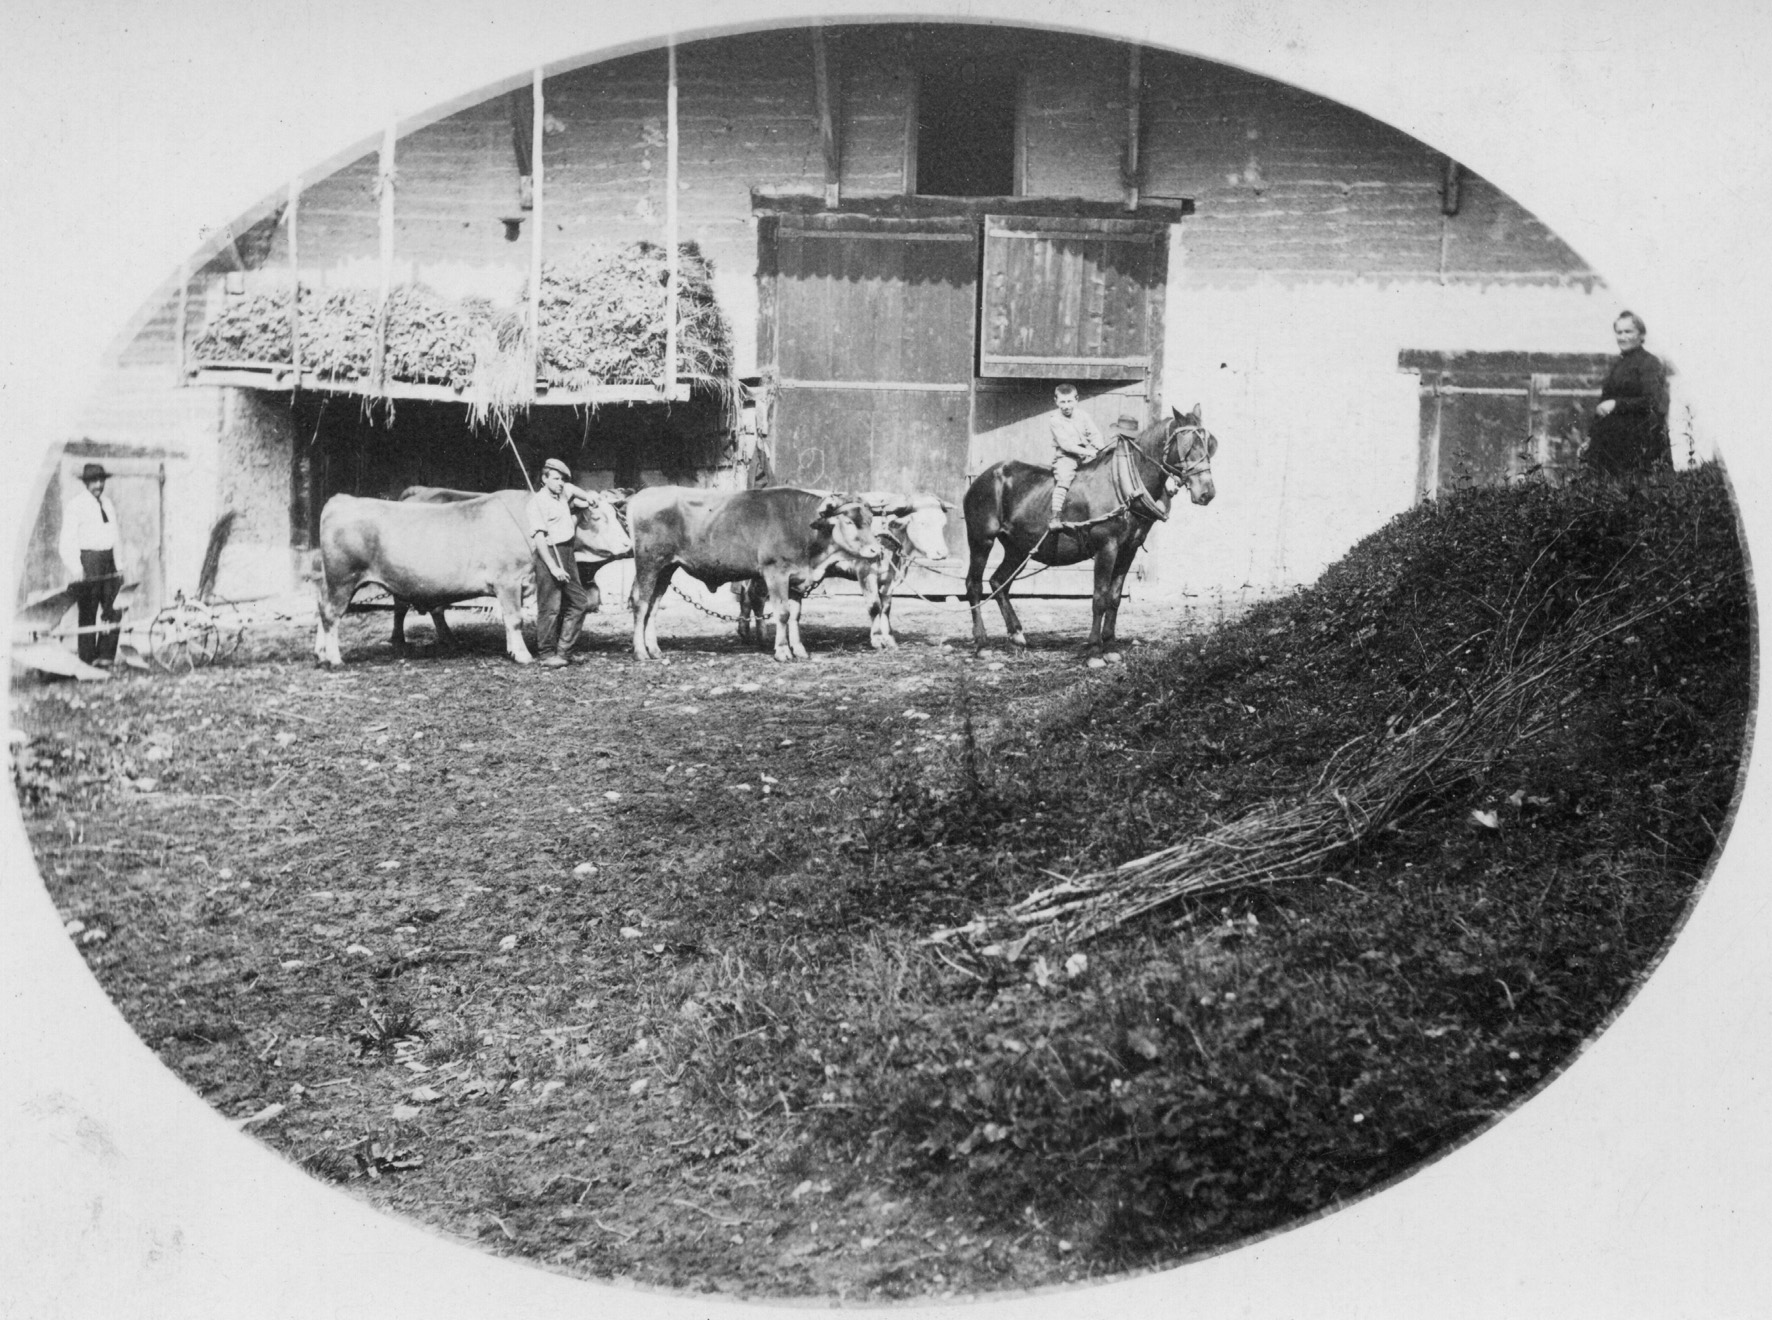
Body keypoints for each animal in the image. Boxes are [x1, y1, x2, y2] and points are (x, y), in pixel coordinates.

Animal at [963, 402, 1212, 648]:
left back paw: (1016, 635)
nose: (1207, 492)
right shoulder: (1106, 547)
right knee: (974, 585)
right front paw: (1094, 646)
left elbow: (1114, 596)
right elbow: (1099, 596)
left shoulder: (1128, 549)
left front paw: (1109, 642)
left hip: (1018, 548)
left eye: (1209, 444)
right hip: (981, 540)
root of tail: (982, 478)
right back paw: (981, 641)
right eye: (1188, 444)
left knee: (999, 582)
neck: (1122, 485)